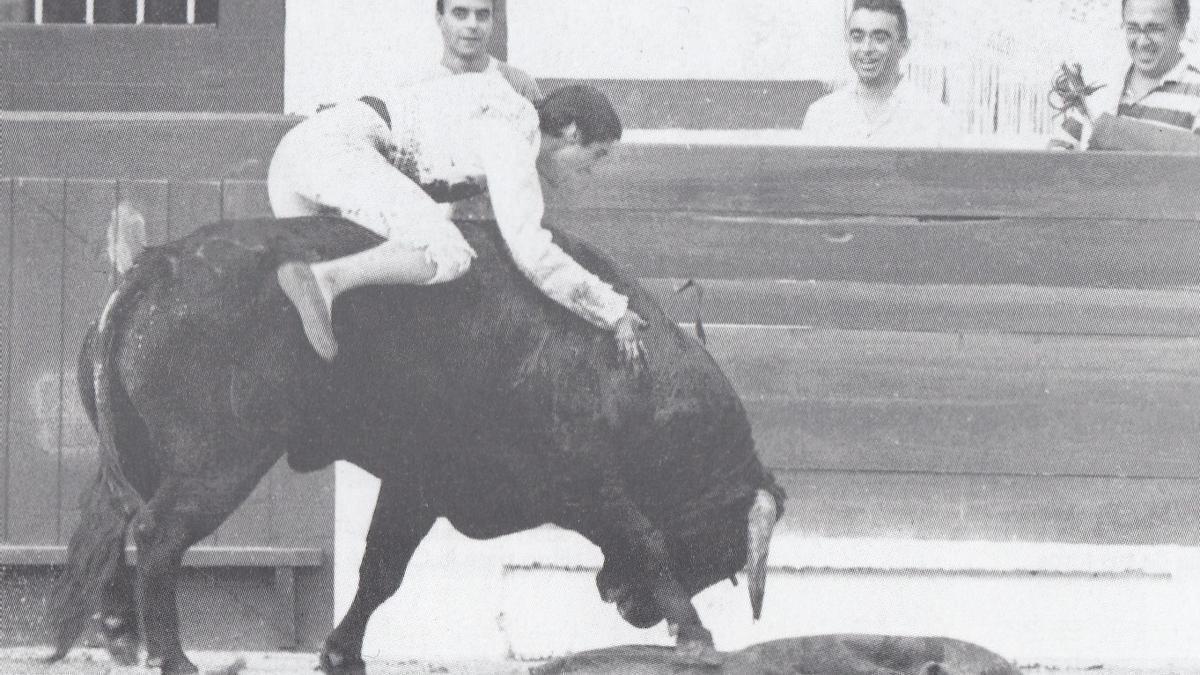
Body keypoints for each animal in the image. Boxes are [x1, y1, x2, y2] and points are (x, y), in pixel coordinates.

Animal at [44, 214, 787, 672]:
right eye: (723, 551)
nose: (628, 608)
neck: (634, 381)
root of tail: (157, 265)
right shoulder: (585, 480)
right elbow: (647, 536)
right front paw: (696, 635)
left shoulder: (417, 483)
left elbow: (381, 569)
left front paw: (340, 652)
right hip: (218, 464)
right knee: (157, 534)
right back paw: (173, 657)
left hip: (137, 456)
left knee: (109, 522)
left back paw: (118, 634)